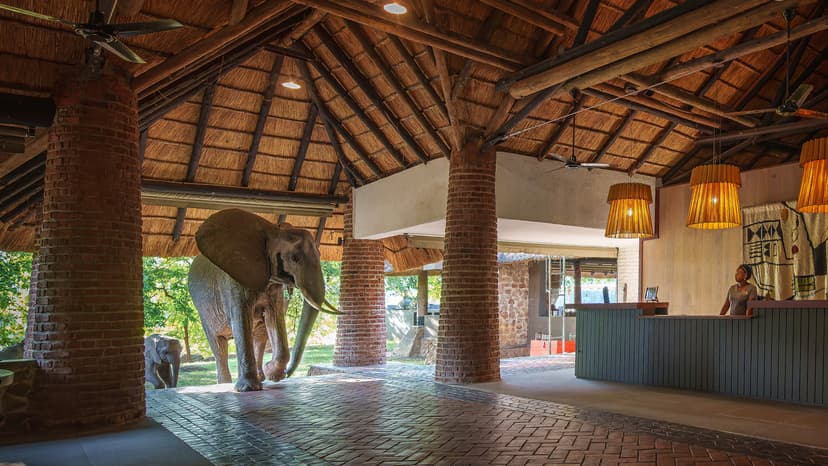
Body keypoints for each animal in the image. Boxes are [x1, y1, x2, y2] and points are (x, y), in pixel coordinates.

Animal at [188, 209, 339, 392]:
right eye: (295, 258)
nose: (287, 373)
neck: (272, 231)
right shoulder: (233, 280)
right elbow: (241, 319)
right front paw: (248, 388)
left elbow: (274, 318)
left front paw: (272, 375)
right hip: (202, 310)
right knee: (219, 345)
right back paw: (225, 384)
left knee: (259, 336)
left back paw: (261, 377)